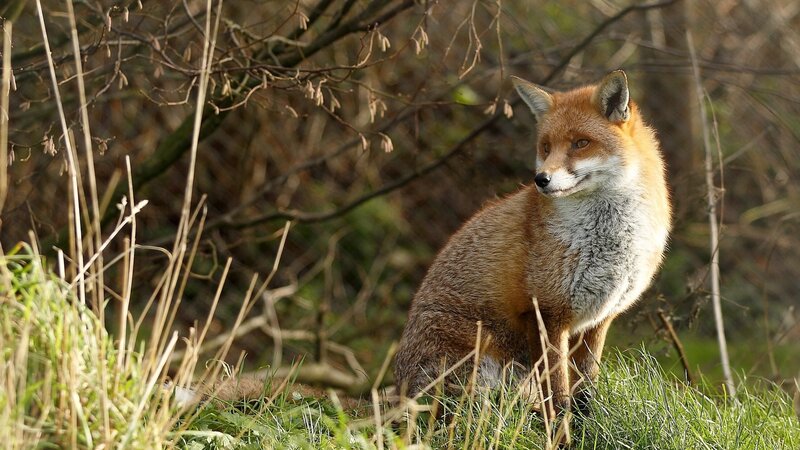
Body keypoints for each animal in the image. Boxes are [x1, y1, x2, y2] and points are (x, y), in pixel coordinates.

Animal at [393, 70, 672, 417]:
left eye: (581, 143)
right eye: (546, 147)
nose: (541, 180)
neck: (607, 240)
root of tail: (396, 394)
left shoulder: (599, 320)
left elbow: (586, 387)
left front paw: (586, 422)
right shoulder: (546, 314)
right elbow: (559, 394)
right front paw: (562, 428)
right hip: (480, 360)